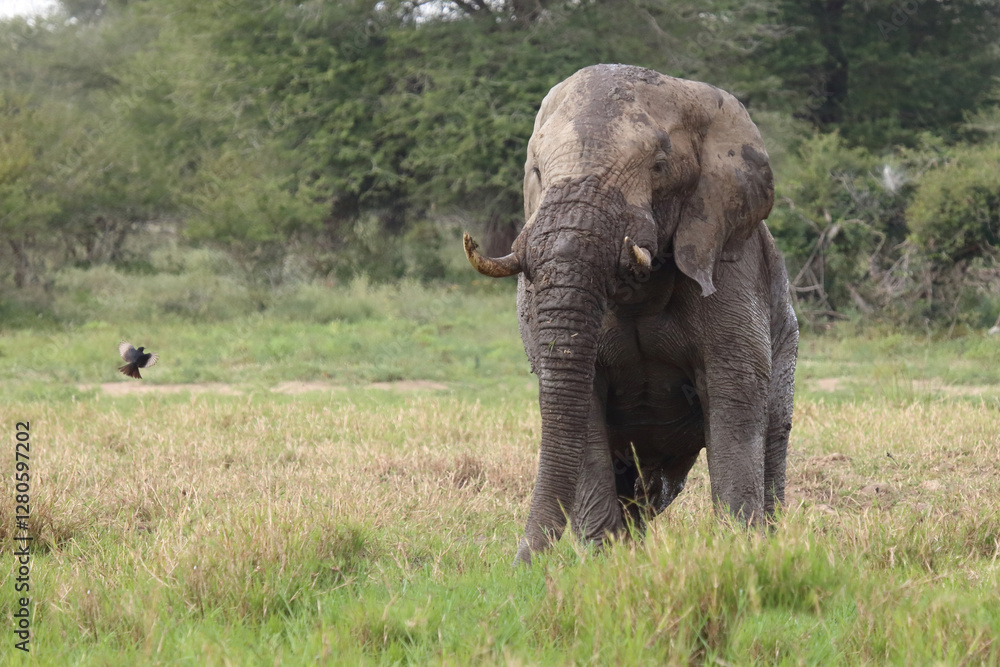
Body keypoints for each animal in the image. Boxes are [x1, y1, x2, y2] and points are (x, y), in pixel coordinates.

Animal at [464, 64, 798, 565]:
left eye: (659, 166)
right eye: (537, 171)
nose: (519, 564)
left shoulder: (728, 262)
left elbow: (734, 394)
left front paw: (741, 549)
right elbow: (581, 402)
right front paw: (605, 560)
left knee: (773, 435)